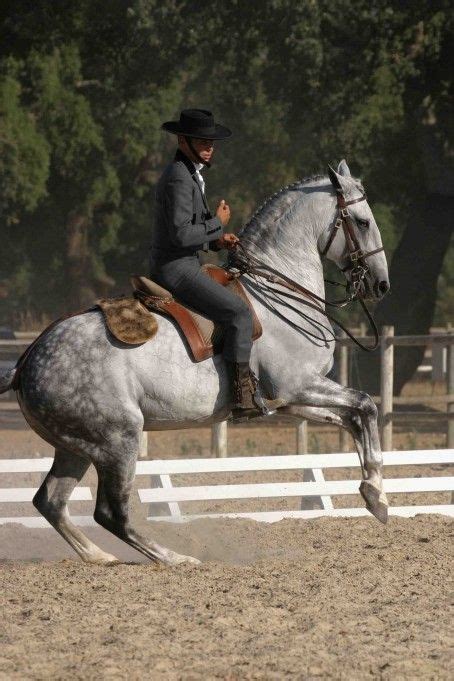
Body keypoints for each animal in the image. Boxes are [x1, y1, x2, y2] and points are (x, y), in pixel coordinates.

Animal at [0, 158, 390, 564]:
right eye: (362, 221)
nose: (381, 285)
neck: (277, 291)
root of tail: (28, 361)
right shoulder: (299, 384)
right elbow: (366, 404)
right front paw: (376, 494)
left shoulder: (290, 399)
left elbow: (353, 417)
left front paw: (374, 493)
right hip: (118, 439)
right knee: (110, 512)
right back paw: (174, 559)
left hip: (76, 446)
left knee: (51, 502)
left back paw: (100, 557)